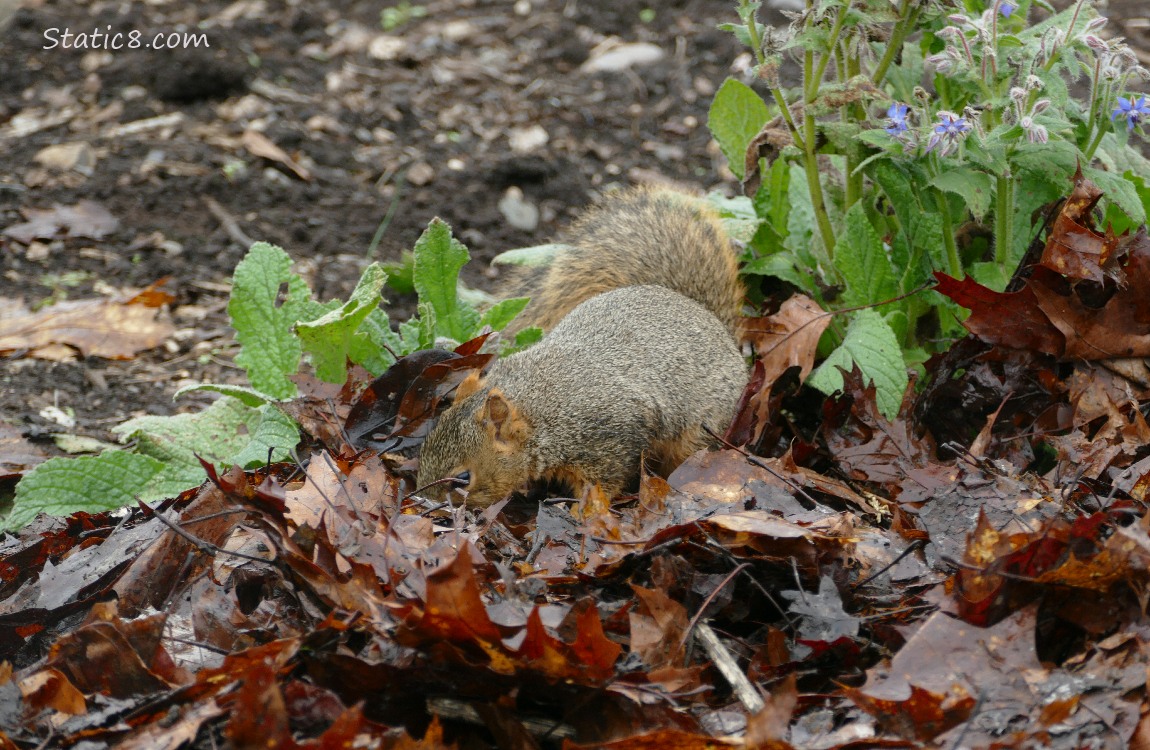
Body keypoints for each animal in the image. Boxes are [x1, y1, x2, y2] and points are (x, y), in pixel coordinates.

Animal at [414, 186, 745, 503]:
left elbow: (601, 485)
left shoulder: (609, 440)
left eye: (462, 478)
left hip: (699, 431)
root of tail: (708, 318)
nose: (423, 502)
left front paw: (582, 511)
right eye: (424, 449)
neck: (537, 410)